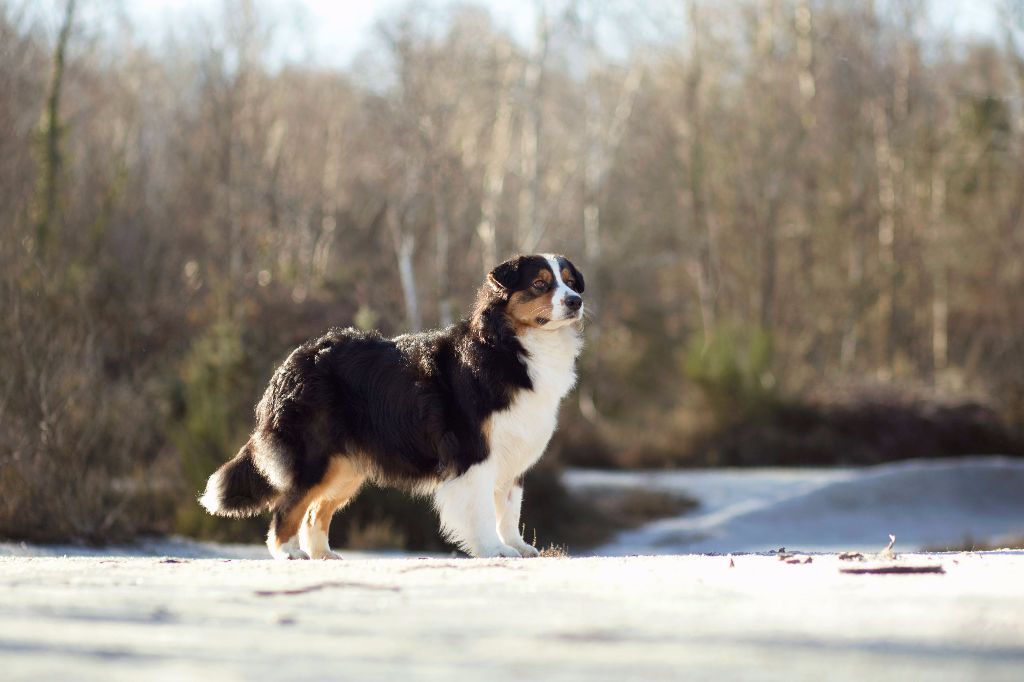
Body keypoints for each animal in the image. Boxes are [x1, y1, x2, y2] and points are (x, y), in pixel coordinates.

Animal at [199, 251, 585, 557]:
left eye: (570, 283)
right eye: (540, 283)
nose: (576, 301)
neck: (510, 346)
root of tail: (290, 364)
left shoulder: (514, 455)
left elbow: (509, 509)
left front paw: (517, 546)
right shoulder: (473, 454)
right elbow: (482, 512)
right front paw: (494, 550)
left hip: (344, 466)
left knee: (315, 511)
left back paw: (324, 556)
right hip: (314, 456)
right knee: (287, 507)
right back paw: (289, 553)